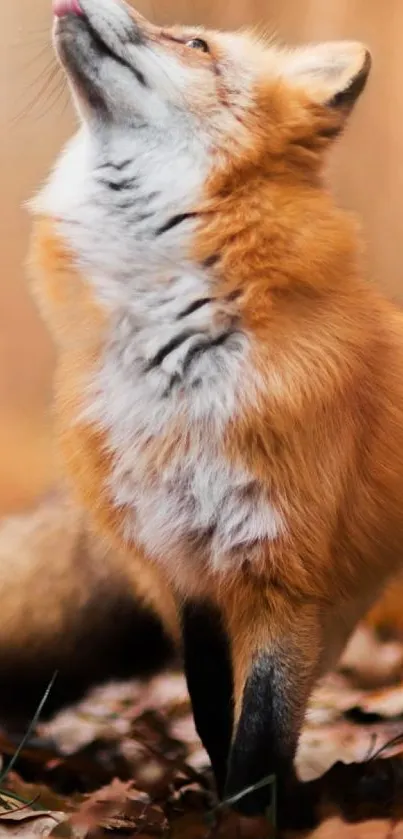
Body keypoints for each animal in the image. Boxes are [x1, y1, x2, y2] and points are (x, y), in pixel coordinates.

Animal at [26, 0, 403, 828]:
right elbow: (211, 713)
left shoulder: (282, 570)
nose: (71, 2)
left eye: (194, 43)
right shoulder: (182, 566)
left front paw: (248, 817)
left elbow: (257, 738)